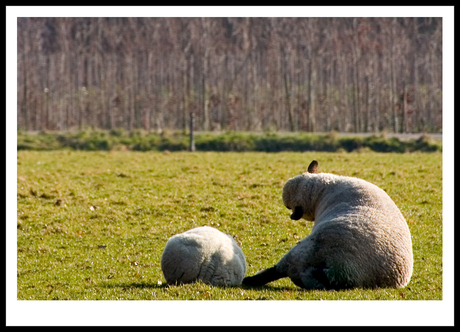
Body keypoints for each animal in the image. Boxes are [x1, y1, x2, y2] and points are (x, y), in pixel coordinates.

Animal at [244, 160, 414, 290]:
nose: (292, 216)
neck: (323, 188)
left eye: (288, 206)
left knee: (280, 268)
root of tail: (333, 270)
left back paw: (250, 280)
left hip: (303, 252)